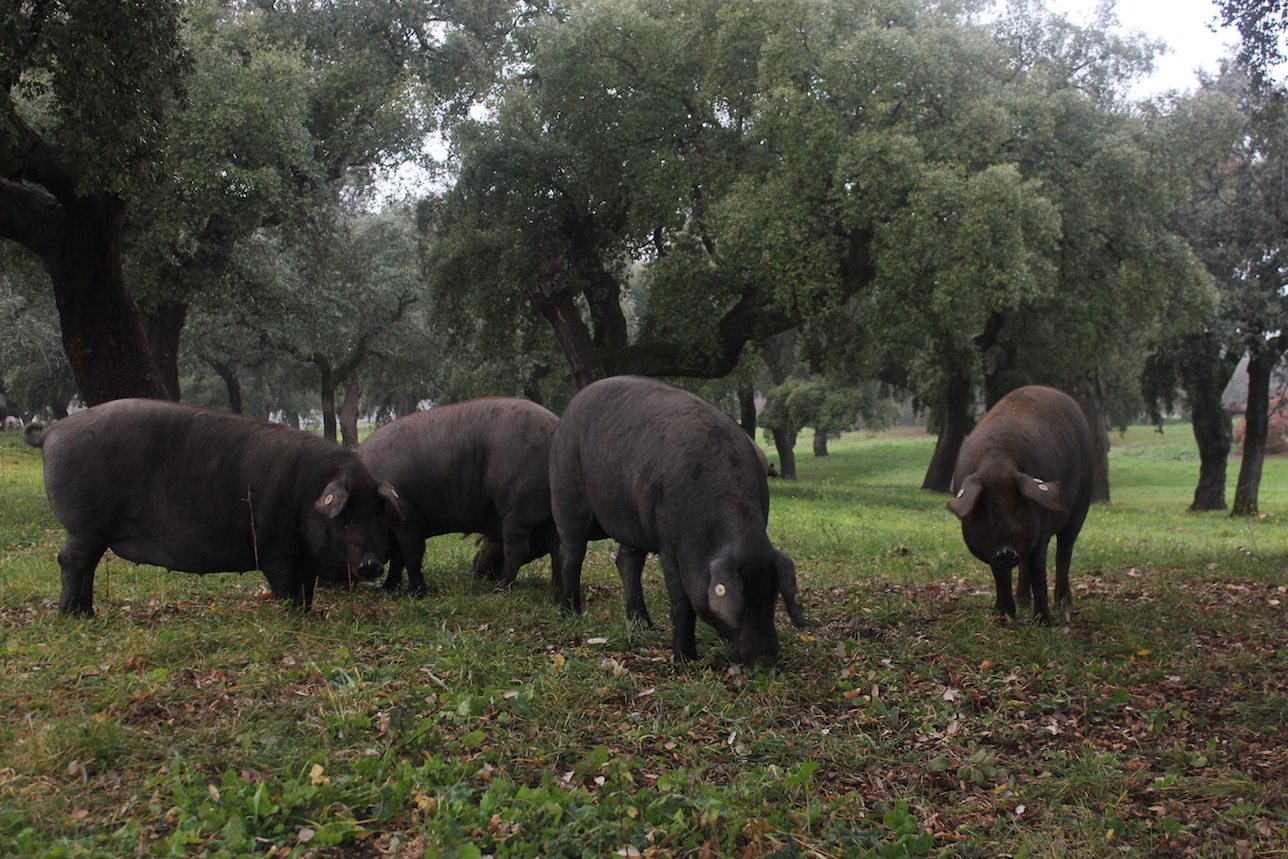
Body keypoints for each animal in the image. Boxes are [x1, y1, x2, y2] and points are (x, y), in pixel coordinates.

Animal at [23, 398, 403, 616]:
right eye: (345, 519)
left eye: (378, 515)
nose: (371, 564)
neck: (306, 496)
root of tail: (53, 431)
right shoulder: (274, 547)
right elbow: (286, 588)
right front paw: (294, 617)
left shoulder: (303, 555)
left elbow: (307, 587)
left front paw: (309, 613)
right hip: (84, 524)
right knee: (71, 561)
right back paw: (74, 616)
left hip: (91, 530)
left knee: (83, 565)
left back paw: (86, 612)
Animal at [357, 398, 561, 598]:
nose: (367, 568)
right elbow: (399, 558)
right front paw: (387, 589)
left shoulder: (408, 518)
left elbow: (411, 555)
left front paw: (414, 594)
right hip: (550, 515)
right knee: (557, 547)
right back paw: (555, 589)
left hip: (517, 509)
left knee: (516, 550)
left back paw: (498, 592)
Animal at [549, 375, 806, 668]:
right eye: (742, 596)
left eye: (772, 595)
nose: (766, 659)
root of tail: (570, 409)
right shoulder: (670, 543)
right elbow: (681, 600)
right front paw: (684, 660)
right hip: (565, 492)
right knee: (571, 555)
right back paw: (570, 614)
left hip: (632, 519)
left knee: (626, 562)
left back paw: (645, 627)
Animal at [947, 385, 1094, 625]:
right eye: (984, 506)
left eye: (1016, 502)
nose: (1006, 551)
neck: (997, 465)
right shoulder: (991, 545)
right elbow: (1000, 576)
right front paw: (1003, 616)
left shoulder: (1040, 531)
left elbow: (1039, 573)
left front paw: (1044, 623)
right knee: (1026, 564)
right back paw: (1022, 599)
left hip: (1082, 501)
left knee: (1064, 551)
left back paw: (1064, 604)